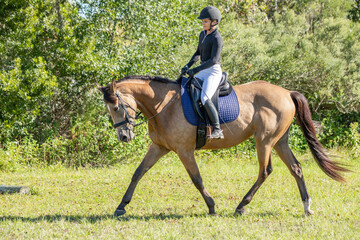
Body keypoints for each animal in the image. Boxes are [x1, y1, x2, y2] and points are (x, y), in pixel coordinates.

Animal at [97, 75, 348, 218]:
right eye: (109, 110)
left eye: (117, 107)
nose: (124, 136)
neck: (163, 106)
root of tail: (287, 92)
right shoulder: (159, 147)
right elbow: (138, 173)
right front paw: (121, 206)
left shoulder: (184, 151)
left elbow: (196, 179)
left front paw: (211, 206)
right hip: (280, 141)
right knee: (296, 168)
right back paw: (306, 207)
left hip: (265, 141)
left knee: (265, 171)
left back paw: (241, 206)